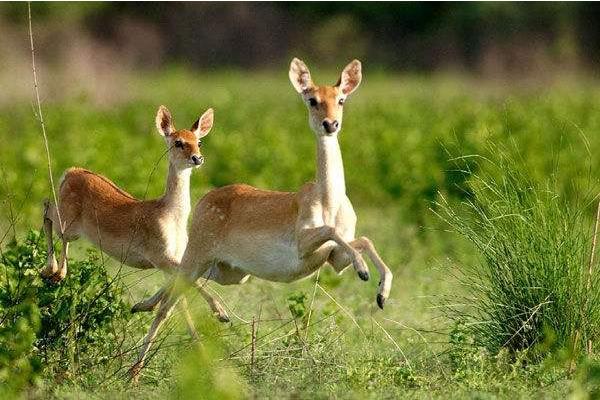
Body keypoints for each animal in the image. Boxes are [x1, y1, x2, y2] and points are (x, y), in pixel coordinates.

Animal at [41, 104, 230, 324]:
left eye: (198, 141)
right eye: (178, 142)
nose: (197, 158)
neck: (172, 216)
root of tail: (70, 172)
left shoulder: (174, 259)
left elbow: (178, 301)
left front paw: (143, 306)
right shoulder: (160, 256)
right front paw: (222, 313)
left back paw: (53, 274)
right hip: (68, 223)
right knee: (48, 211)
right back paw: (52, 272)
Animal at [129, 57, 394, 380]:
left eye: (341, 99)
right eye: (312, 99)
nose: (330, 124)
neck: (328, 201)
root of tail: (205, 200)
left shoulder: (334, 258)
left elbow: (362, 240)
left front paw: (381, 293)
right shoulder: (304, 244)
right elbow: (333, 231)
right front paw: (365, 272)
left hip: (227, 271)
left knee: (176, 282)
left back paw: (146, 308)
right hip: (199, 256)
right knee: (168, 304)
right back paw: (135, 369)